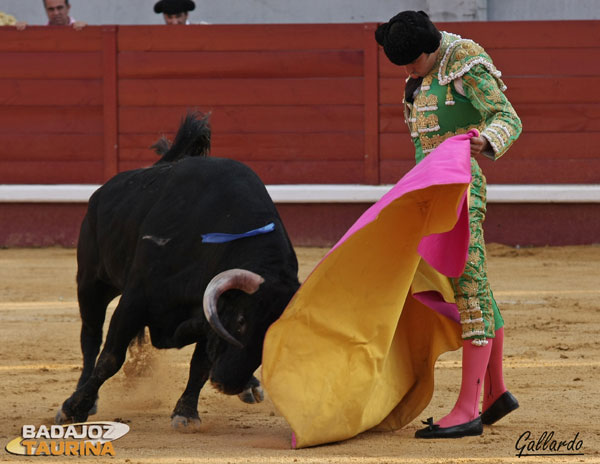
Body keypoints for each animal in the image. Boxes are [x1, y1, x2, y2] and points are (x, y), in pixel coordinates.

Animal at [55, 113, 300, 428]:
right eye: (241, 320)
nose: (228, 383)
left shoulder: (207, 311)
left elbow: (200, 364)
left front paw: (186, 411)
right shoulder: (135, 300)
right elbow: (110, 358)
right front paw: (73, 408)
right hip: (91, 282)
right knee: (90, 338)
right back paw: (83, 396)